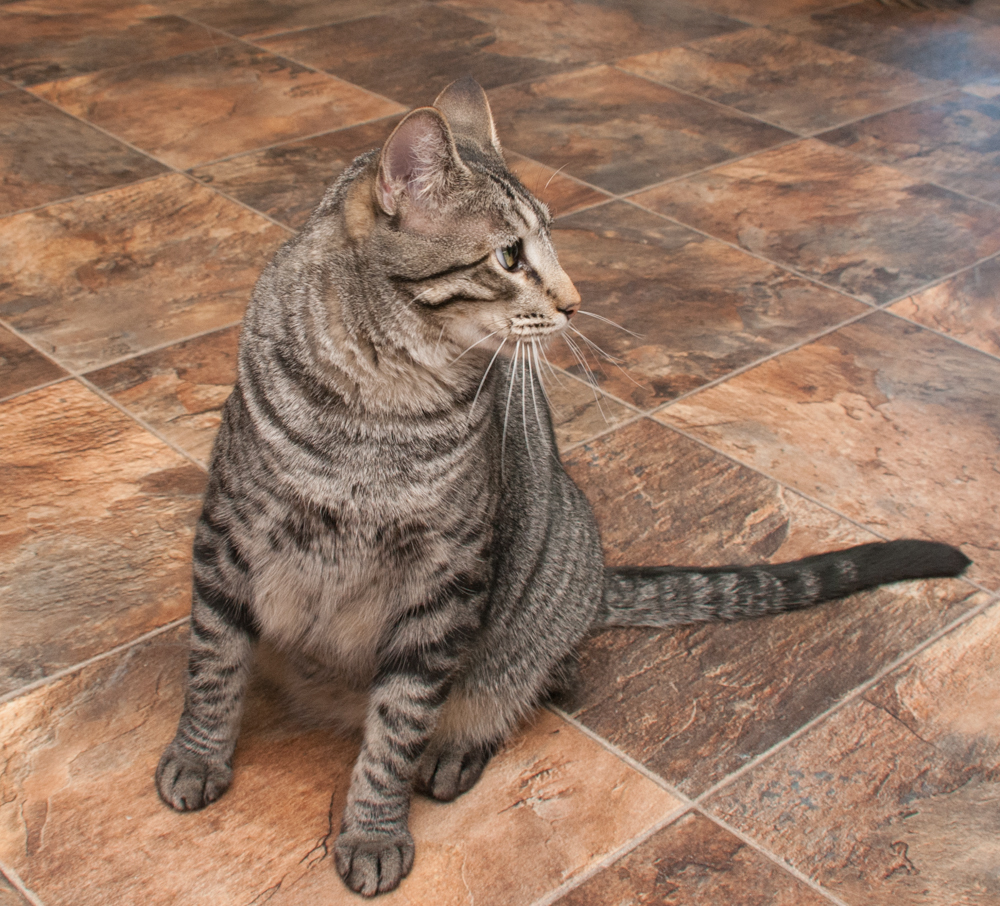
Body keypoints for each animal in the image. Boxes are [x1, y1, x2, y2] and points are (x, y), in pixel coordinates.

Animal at [156, 77, 968, 896]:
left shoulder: (446, 582)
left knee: (529, 683)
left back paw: (458, 749)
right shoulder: (228, 536)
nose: (575, 301)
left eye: (549, 246)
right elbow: (214, 668)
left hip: (533, 599)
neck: (378, 410)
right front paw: (198, 756)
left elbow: (397, 726)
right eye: (511, 255)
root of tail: (599, 578)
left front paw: (373, 830)